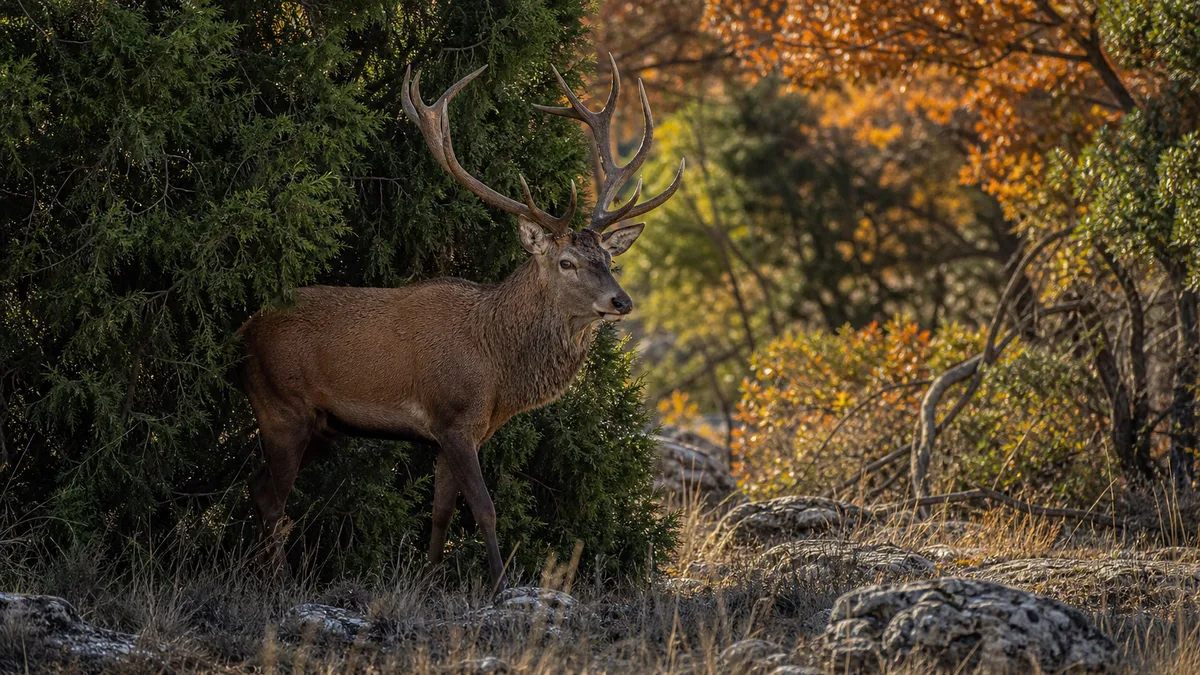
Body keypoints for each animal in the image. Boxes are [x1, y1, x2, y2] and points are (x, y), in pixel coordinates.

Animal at [235, 56, 684, 590]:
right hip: (282, 407)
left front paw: (429, 582)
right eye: (567, 262)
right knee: (271, 496)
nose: (622, 301)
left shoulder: (460, 432)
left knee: (259, 486)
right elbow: (485, 508)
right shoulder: (451, 417)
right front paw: (498, 585)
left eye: (610, 261)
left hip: (323, 425)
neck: (496, 369)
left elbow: (441, 512)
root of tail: (243, 333)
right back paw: (277, 580)